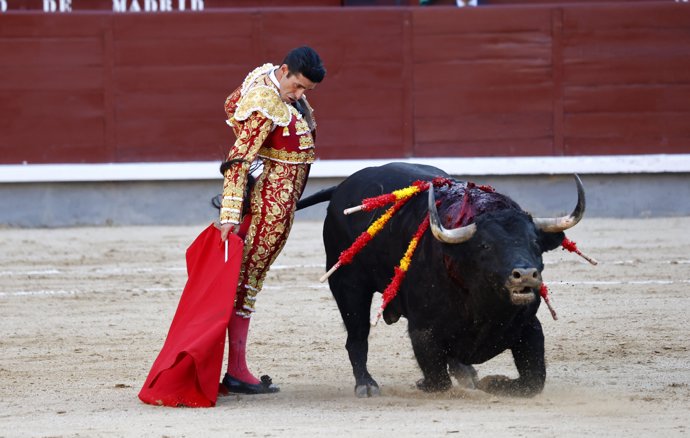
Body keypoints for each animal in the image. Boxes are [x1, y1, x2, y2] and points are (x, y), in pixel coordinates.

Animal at [298, 163, 584, 398]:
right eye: (485, 246)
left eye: (535, 243)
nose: (524, 274)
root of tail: (343, 186)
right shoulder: (422, 331)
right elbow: (438, 380)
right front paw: (425, 384)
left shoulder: (530, 327)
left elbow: (534, 381)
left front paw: (492, 382)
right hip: (348, 285)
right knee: (357, 337)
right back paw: (366, 385)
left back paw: (467, 374)